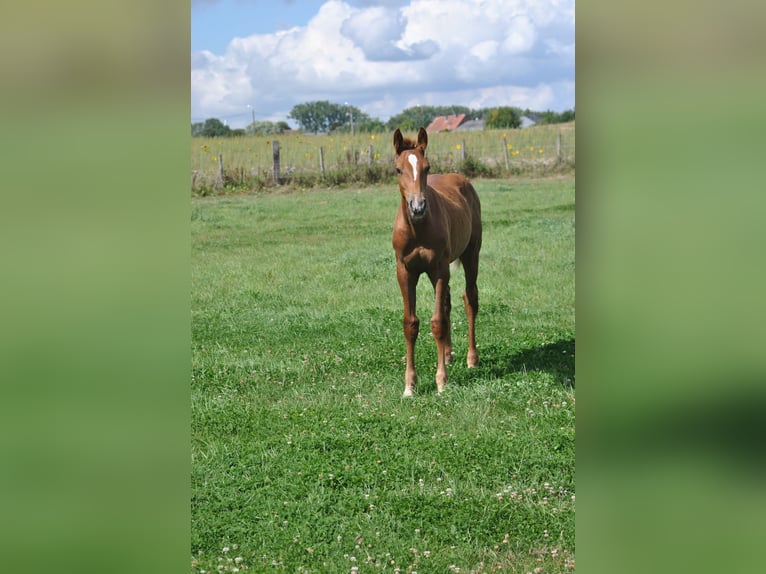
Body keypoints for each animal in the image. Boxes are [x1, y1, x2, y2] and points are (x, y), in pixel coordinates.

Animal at [391, 127, 482, 396]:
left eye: (427, 167)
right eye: (398, 169)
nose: (418, 207)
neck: (418, 229)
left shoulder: (439, 268)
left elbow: (438, 322)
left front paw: (441, 381)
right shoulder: (405, 272)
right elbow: (410, 324)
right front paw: (410, 385)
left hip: (471, 254)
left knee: (470, 299)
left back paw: (471, 358)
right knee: (448, 302)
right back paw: (449, 354)